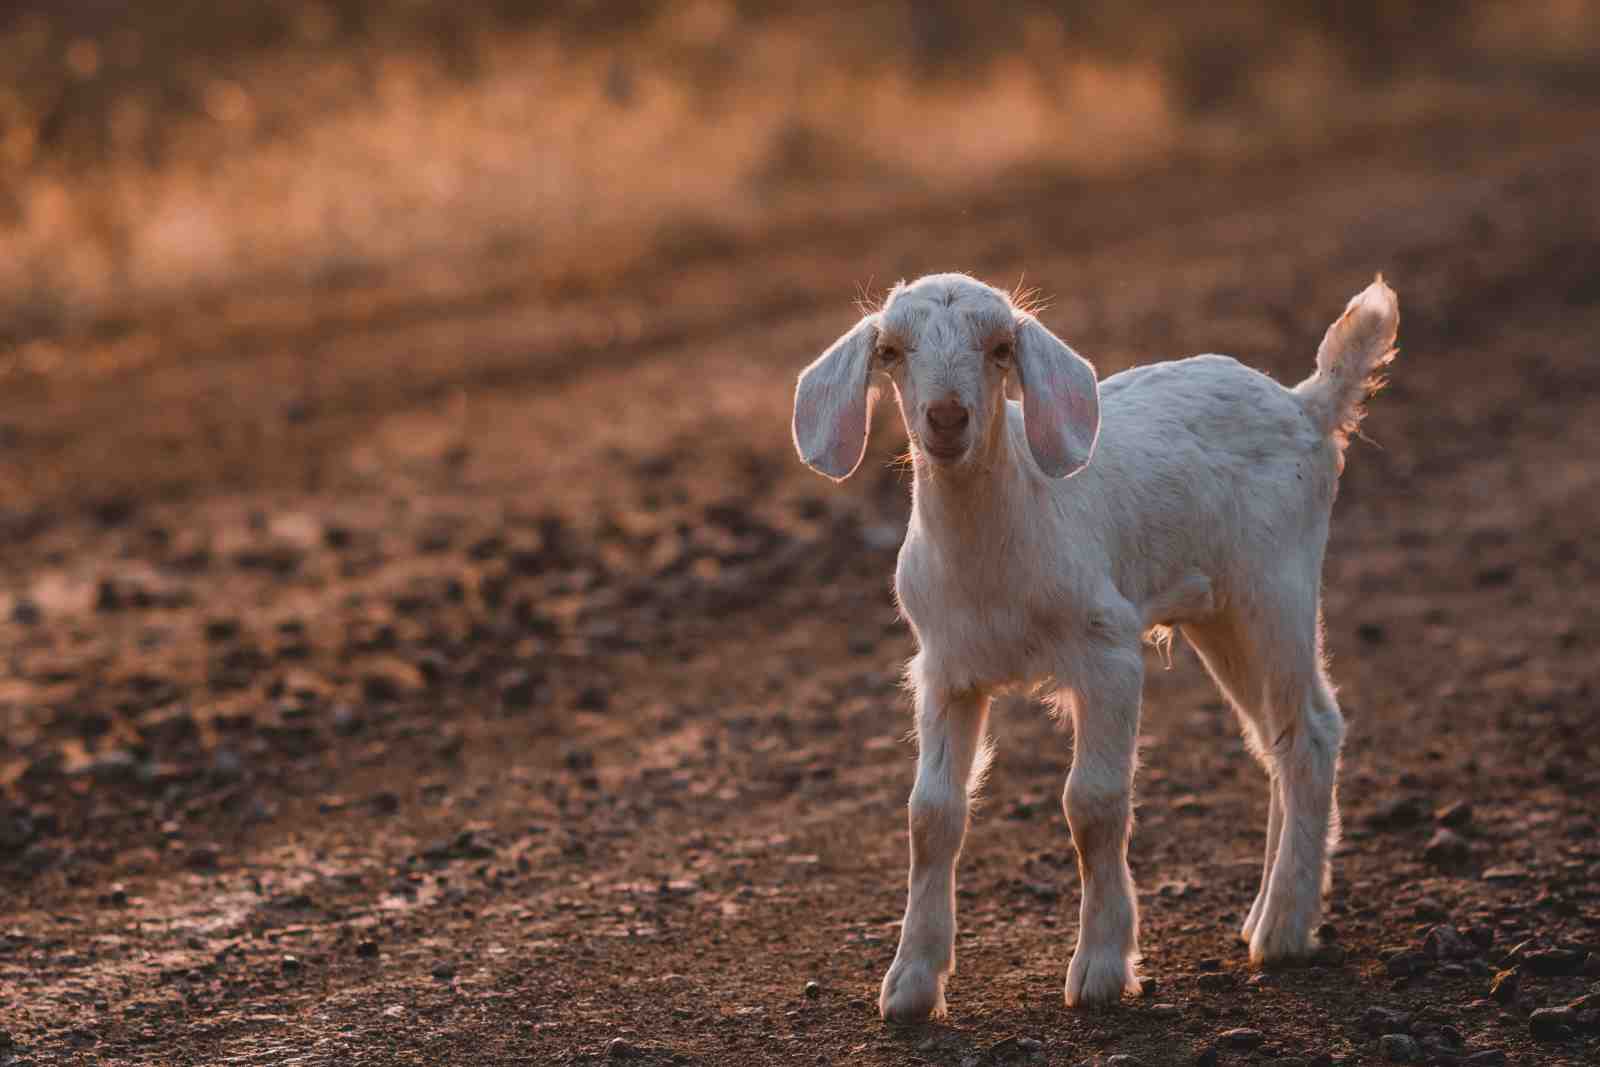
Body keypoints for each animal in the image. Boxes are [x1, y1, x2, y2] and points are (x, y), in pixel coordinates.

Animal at [791, 273, 1399, 1020]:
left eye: (1001, 348)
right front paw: (910, 982)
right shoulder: (945, 671)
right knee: (1276, 742)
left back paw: (1285, 929)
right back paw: (1267, 911)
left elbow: (1094, 804)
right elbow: (931, 814)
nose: (946, 417)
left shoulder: (1108, 653)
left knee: (1311, 730)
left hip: (1275, 585)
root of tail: (1306, 404)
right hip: (1219, 616)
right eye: (892, 351)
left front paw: (1102, 969)